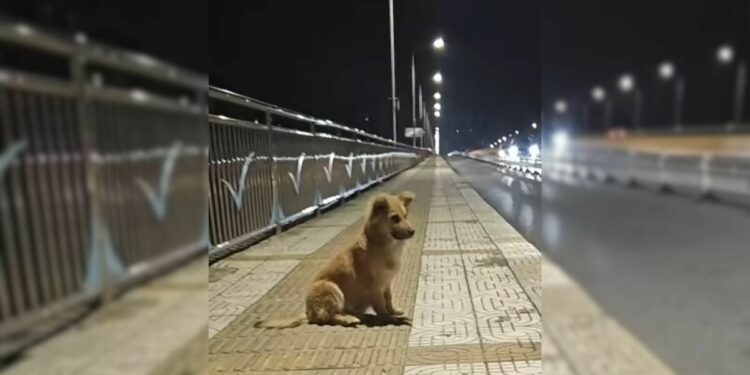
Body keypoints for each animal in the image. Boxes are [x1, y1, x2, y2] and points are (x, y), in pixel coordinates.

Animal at [256, 191, 414, 328]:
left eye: (406, 216)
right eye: (395, 218)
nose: (412, 231)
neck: (383, 245)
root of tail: (308, 312)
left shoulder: (386, 283)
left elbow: (388, 299)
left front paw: (393, 311)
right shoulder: (375, 286)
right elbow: (381, 306)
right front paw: (390, 318)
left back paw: (360, 316)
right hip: (330, 287)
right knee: (328, 317)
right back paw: (349, 319)